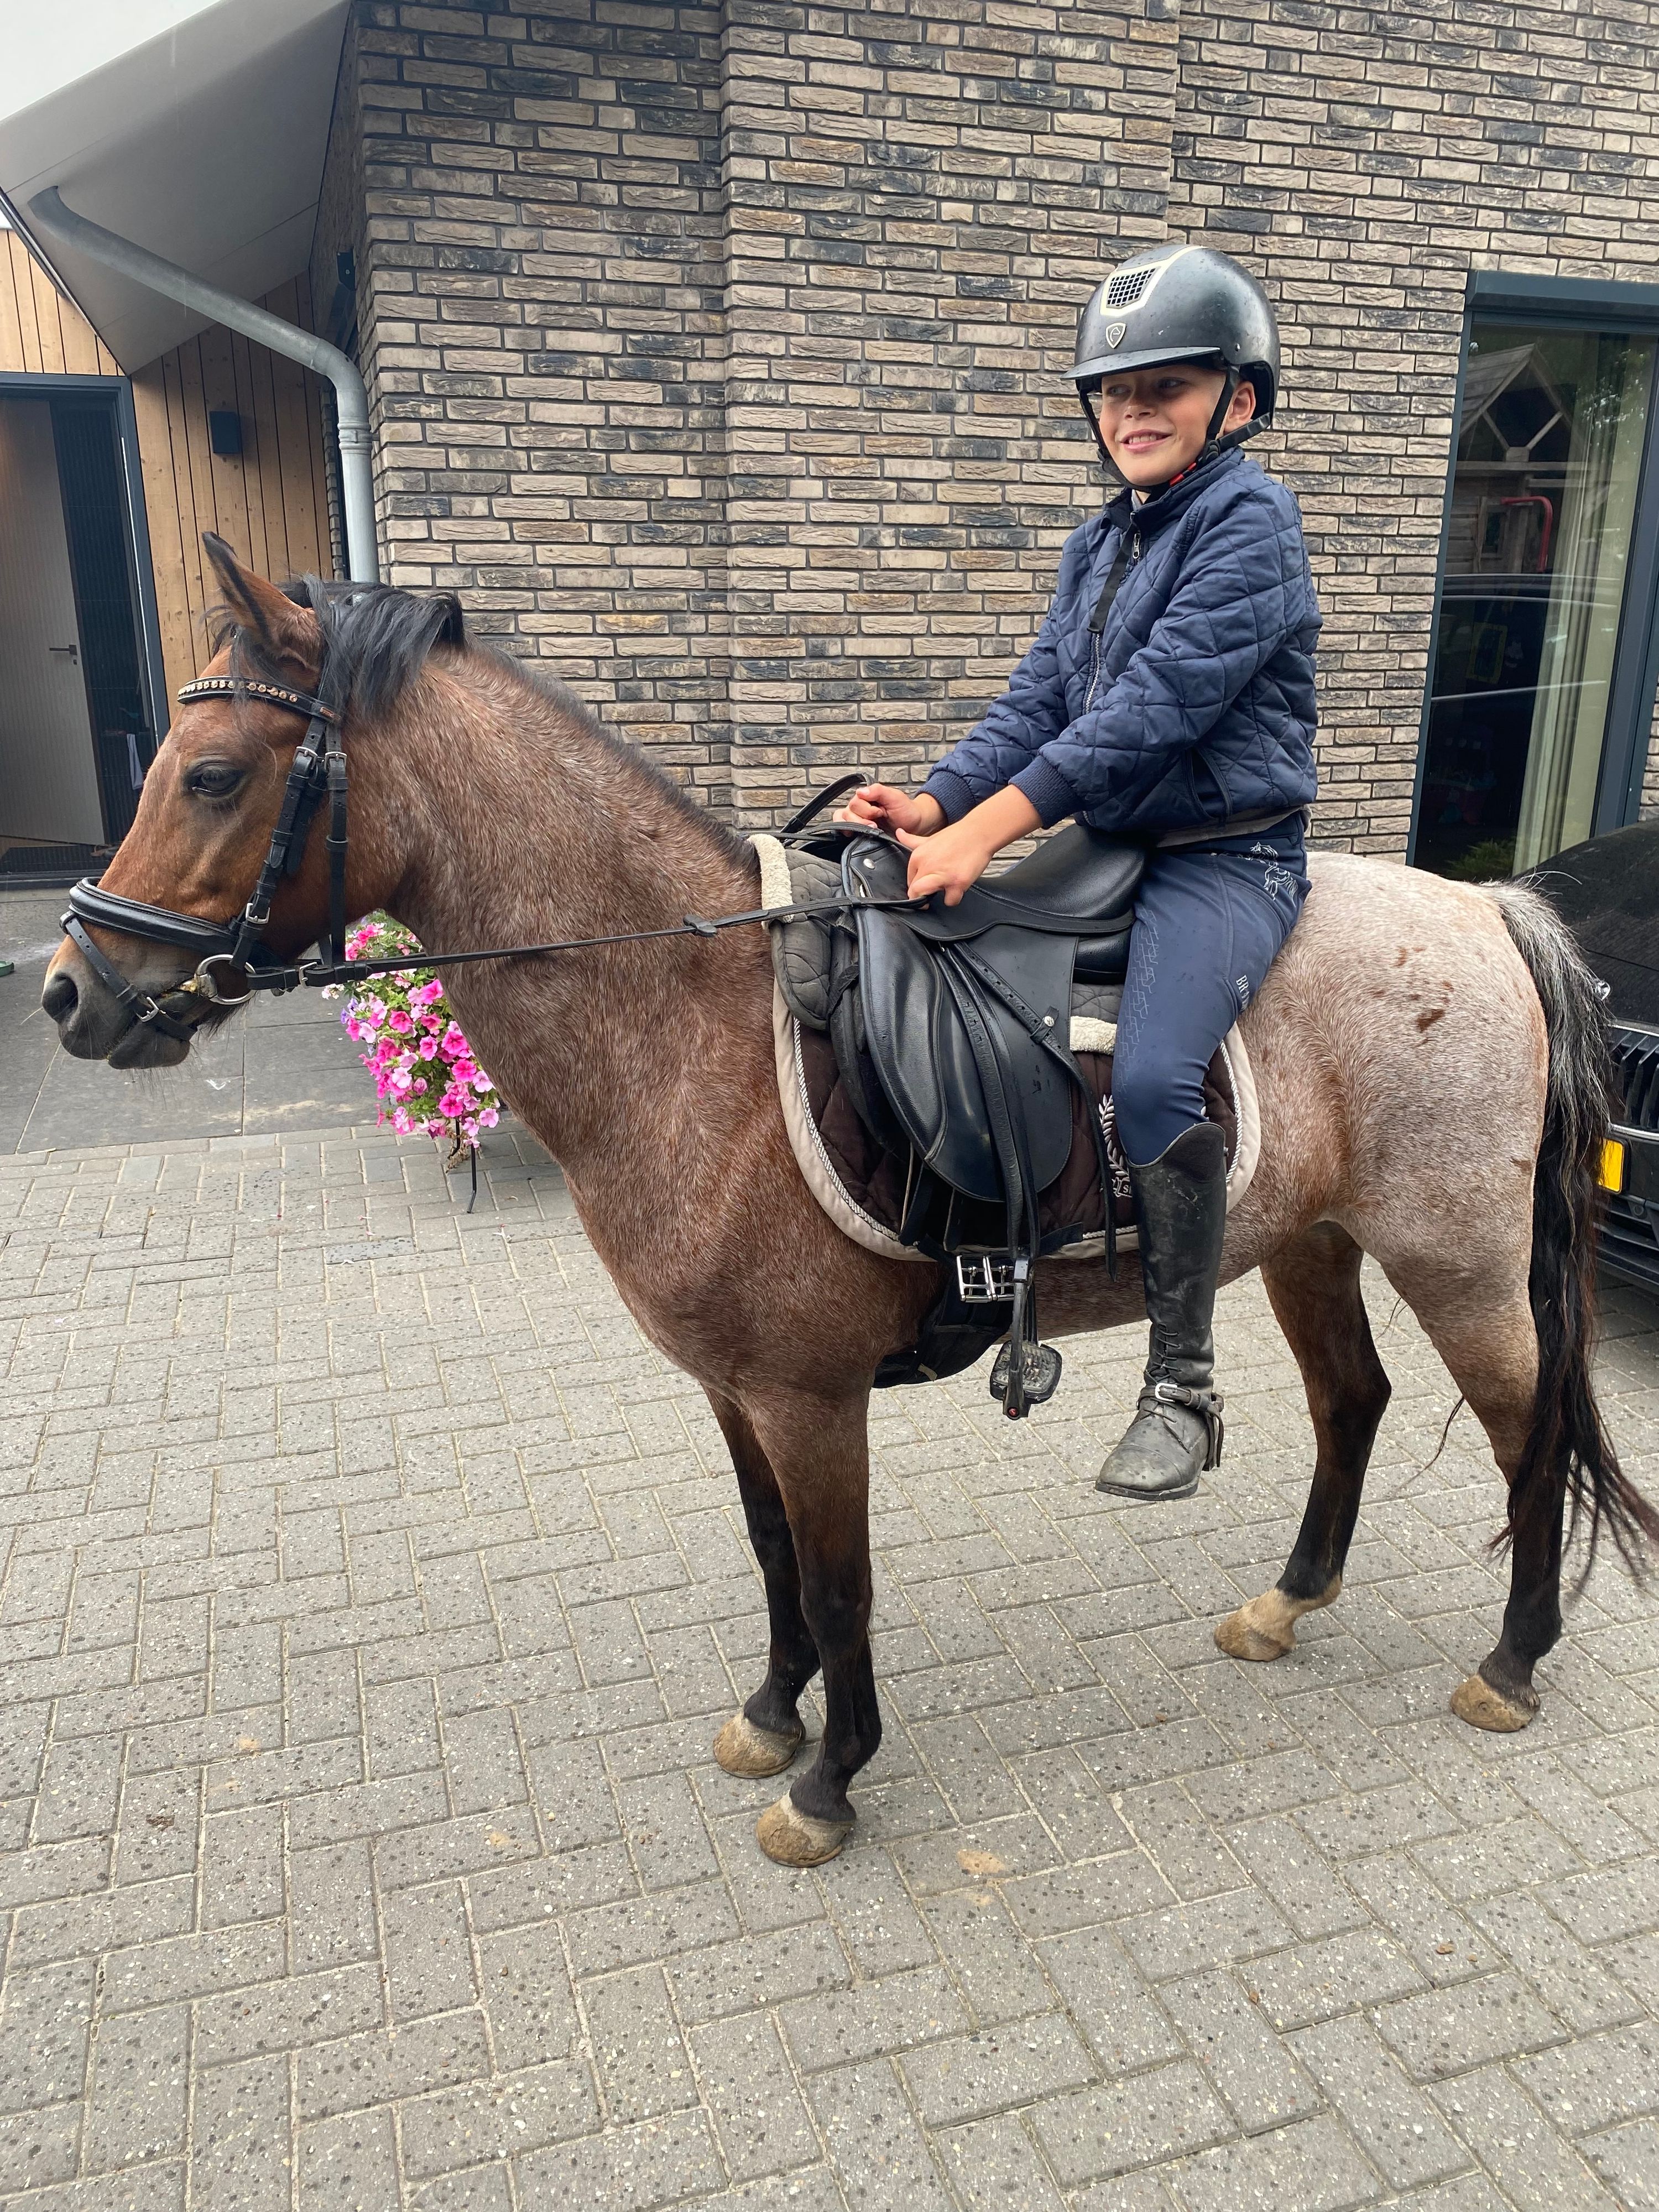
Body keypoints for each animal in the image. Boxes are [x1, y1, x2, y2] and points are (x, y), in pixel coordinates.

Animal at [42, 538, 1658, 1867]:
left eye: (211, 775)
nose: (73, 992)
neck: (690, 1011)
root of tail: (1485, 908)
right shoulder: (731, 1388)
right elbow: (775, 1563)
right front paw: (773, 1717)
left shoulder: (810, 1395)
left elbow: (838, 1584)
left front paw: (830, 1779)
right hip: (1310, 1245)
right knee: (1353, 1403)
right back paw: (1290, 1598)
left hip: (1455, 1260)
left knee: (1527, 1431)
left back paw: (1513, 1661)